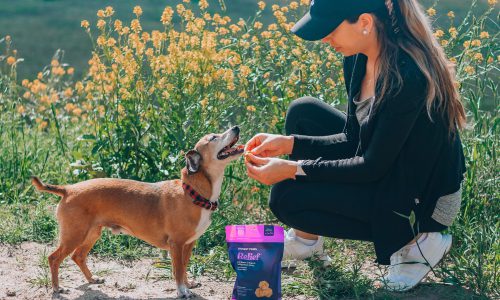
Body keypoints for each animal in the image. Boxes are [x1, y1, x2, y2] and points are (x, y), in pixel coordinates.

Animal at [30, 125, 245, 298]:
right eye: (213, 138)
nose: (236, 127)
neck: (192, 192)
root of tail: (68, 189)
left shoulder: (189, 244)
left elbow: (184, 268)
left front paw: (188, 284)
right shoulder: (176, 244)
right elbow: (177, 270)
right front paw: (182, 291)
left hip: (91, 233)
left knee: (78, 256)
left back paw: (92, 280)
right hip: (74, 235)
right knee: (54, 258)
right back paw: (57, 288)